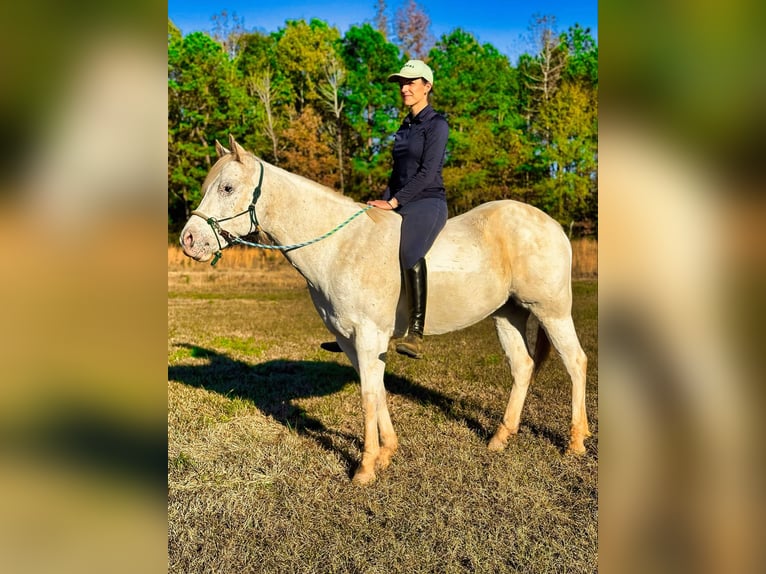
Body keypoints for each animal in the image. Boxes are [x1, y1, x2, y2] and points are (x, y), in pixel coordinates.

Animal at [182, 135, 592, 486]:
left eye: (227, 188)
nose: (189, 240)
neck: (340, 246)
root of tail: (552, 224)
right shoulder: (350, 340)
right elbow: (376, 389)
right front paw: (387, 452)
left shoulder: (368, 335)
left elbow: (367, 395)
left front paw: (365, 468)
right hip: (508, 314)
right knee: (523, 367)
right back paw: (500, 438)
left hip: (551, 311)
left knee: (575, 361)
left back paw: (575, 442)